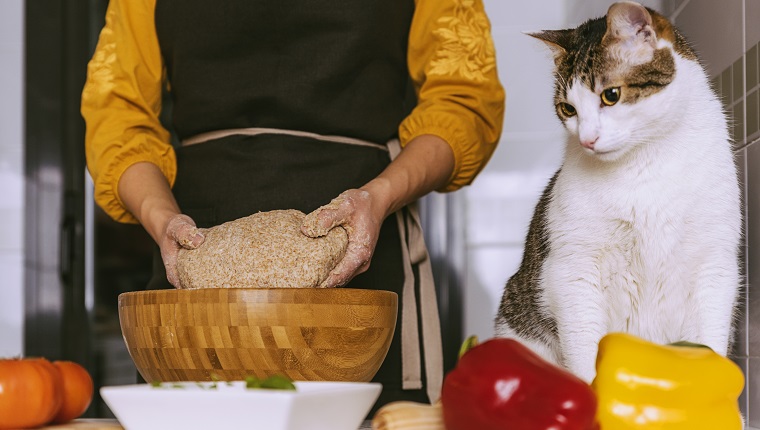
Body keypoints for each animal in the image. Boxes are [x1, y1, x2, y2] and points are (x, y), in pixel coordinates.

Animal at [496, 0, 740, 382]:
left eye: (611, 95)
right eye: (568, 109)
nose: (587, 139)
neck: (644, 165)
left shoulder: (715, 263)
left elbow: (710, 339)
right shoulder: (574, 269)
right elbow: (585, 349)